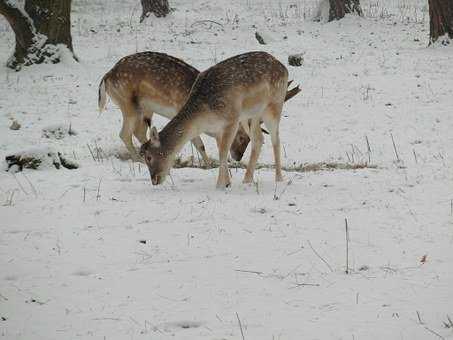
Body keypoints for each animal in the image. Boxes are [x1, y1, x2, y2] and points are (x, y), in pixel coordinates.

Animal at [97, 51, 298, 165]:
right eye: (242, 137)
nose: (238, 157)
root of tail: (106, 77)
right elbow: (199, 143)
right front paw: (209, 164)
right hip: (128, 104)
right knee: (124, 133)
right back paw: (138, 159)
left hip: (145, 108)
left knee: (138, 131)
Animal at [139, 51, 292, 189]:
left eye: (149, 157)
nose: (154, 180)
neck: (204, 117)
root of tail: (284, 68)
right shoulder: (218, 128)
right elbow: (221, 151)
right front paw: (227, 183)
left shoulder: (231, 119)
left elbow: (223, 152)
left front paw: (219, 185)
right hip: (250, 115)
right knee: (258, 138)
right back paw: (247, 180)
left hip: (274, 105)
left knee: (275, 139)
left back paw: (279, 179)